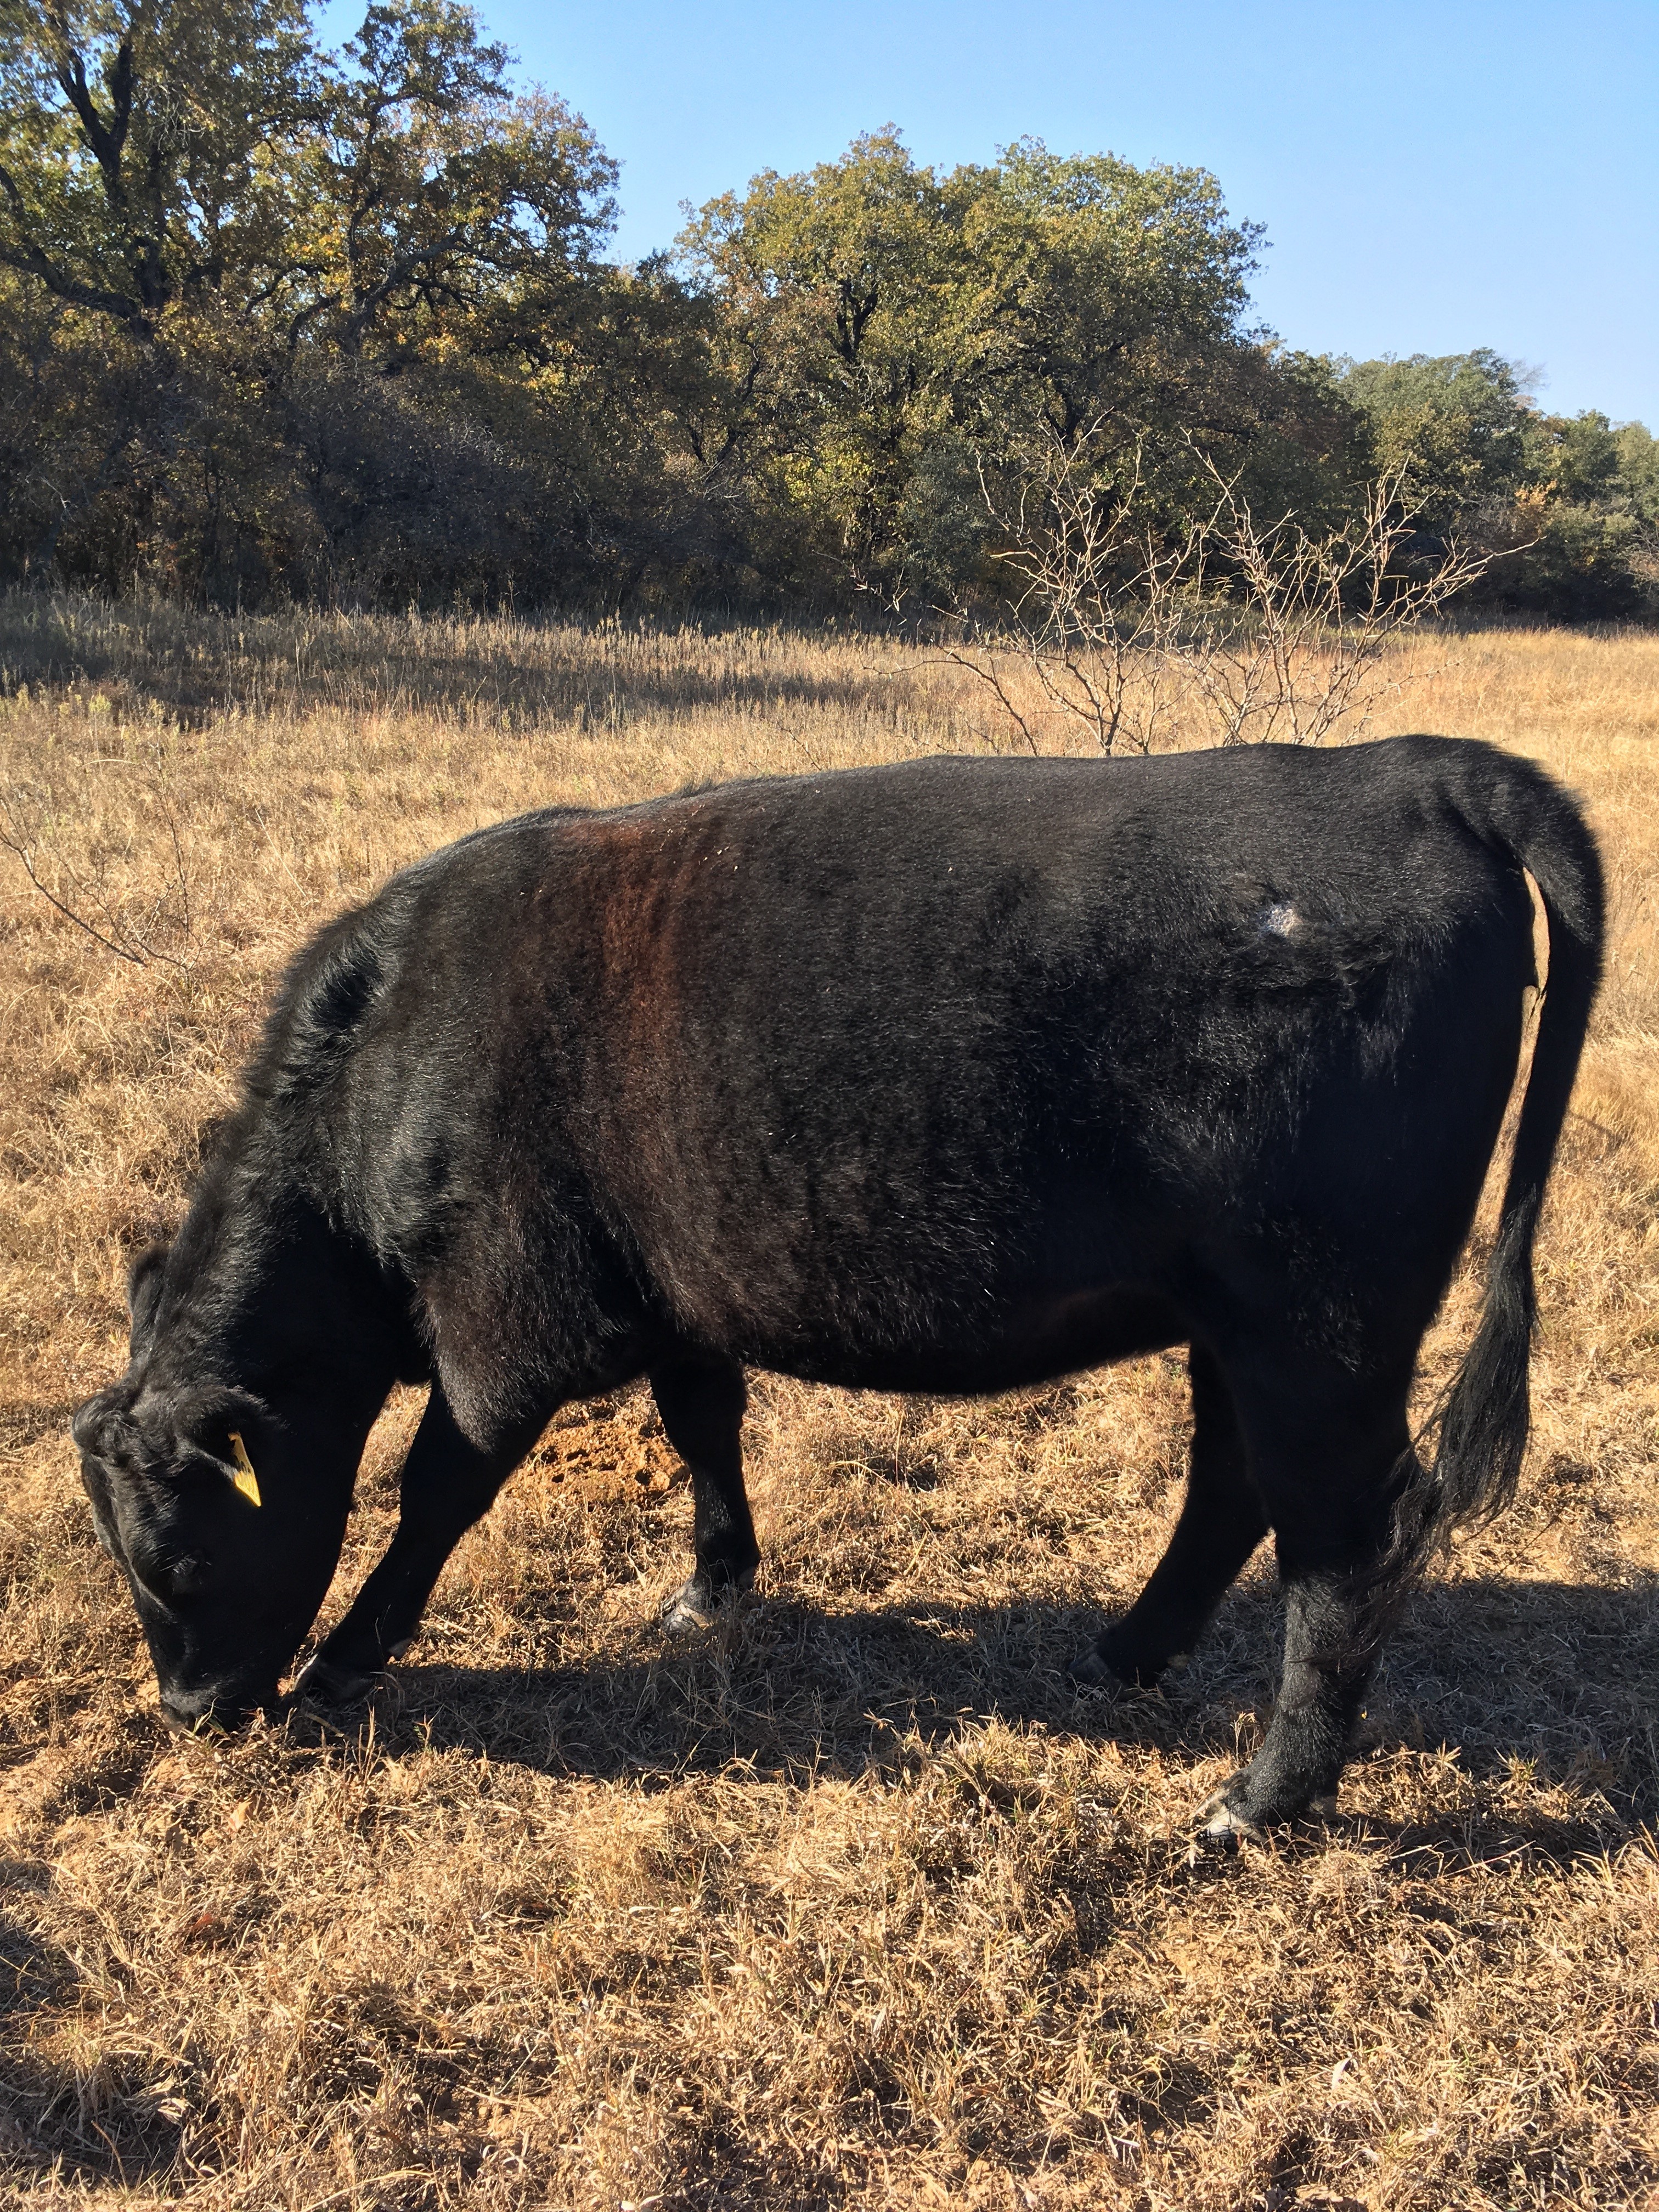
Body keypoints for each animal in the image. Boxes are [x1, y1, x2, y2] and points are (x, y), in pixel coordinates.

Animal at [70, 734, 1603, 1836]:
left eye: (176, 1559)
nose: (193, 1712)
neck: (387, 1068)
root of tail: (1417, 766)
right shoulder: (669, 1294)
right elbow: (704, 1425)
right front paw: (711, 1590)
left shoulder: (507, 1327)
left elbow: (436, 1489)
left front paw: (346, 1659)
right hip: (1241, 1321)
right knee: (1233, 1486)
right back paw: (1130, 1653)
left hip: (1320, 1328)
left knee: (1345, 1544)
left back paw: (1261, 1802)